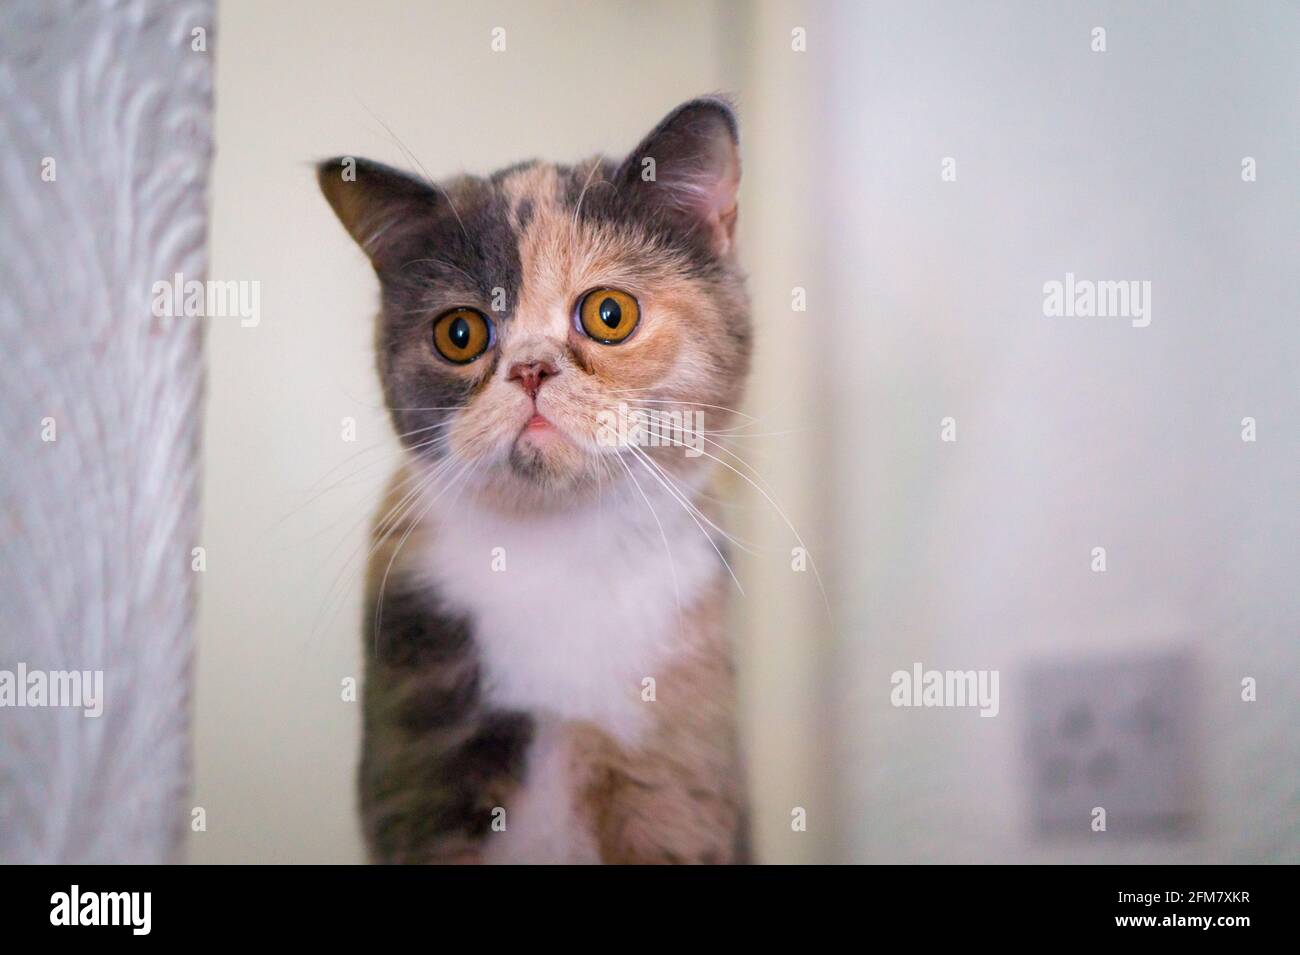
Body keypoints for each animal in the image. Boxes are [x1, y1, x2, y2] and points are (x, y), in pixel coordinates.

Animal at [315, 97, 759, 867]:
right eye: (459, 333)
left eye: (610, 313)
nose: (530, 367)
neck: (558, 550)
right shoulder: (418, 772)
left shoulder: (680, 775)